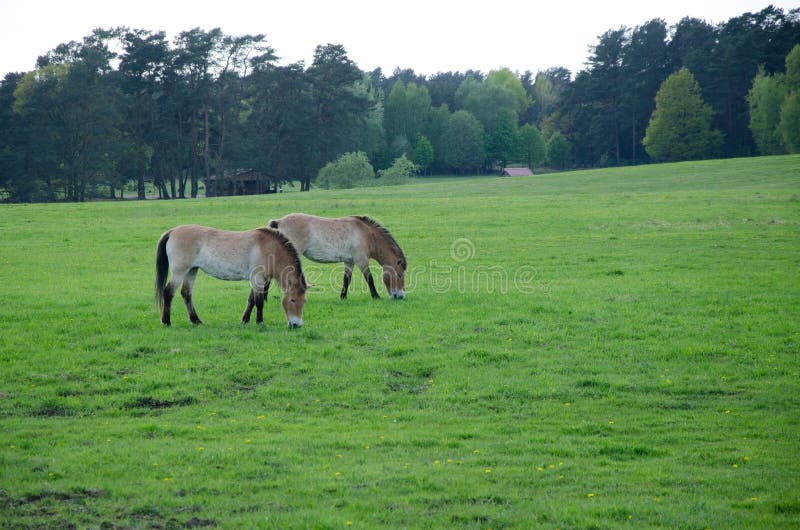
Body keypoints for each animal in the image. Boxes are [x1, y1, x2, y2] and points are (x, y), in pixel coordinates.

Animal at [154, 225, 308, 327]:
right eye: (292, 300)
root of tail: (172, 231)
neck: (269, 248)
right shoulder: (257, 278)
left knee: (186, 293)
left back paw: (196, 320)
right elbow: (259, 302)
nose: (297, 324)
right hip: (179, 271)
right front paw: (260, 322)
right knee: (168, 292)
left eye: (304, 301)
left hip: (192, 270)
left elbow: (251, 300)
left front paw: (245, 320)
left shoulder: (257, 280)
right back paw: (166, 321)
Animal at [268, 213, 407, 300]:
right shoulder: (361, 260)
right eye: (399, 275)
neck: (366, 234)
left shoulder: (349, 262)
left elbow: (346, 279)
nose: (400, 296)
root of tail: (279, 222)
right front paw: (376, 296)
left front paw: (343, 297)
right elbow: (369, 278)